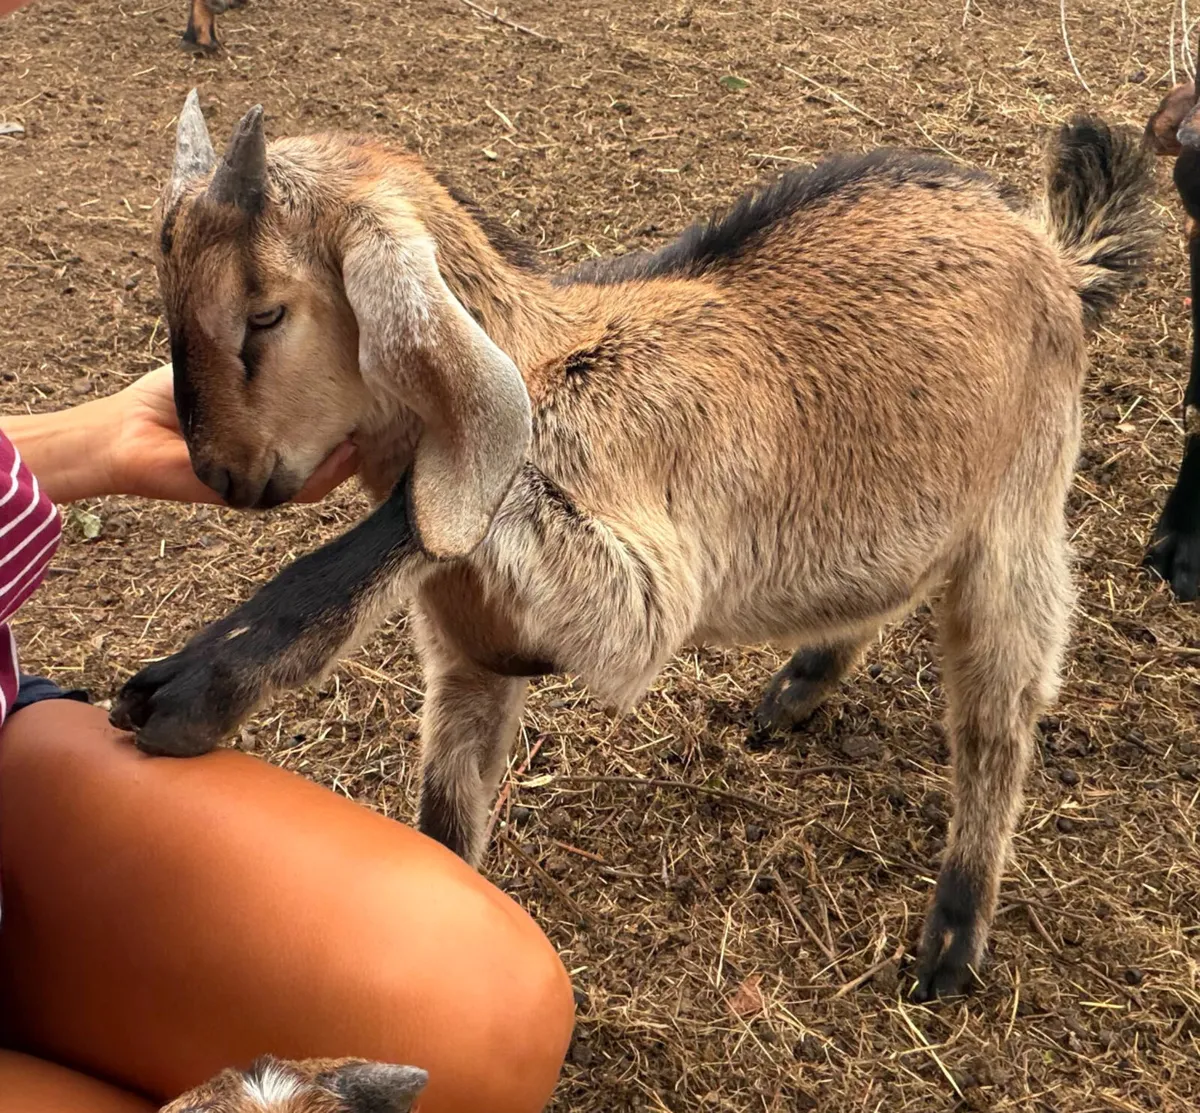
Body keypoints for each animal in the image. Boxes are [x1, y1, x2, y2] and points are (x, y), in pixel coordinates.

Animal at [110, 89, 1155, 1000]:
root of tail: (1057, 254)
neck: (544, 349)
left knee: (999, 714)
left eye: (263, 315)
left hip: (1021, 512)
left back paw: (954, 933)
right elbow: (446, 829)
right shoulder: (469, 665)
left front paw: (194, 683)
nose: (220, 473)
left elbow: (436, 520)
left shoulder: (639, 587)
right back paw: (800, 684)